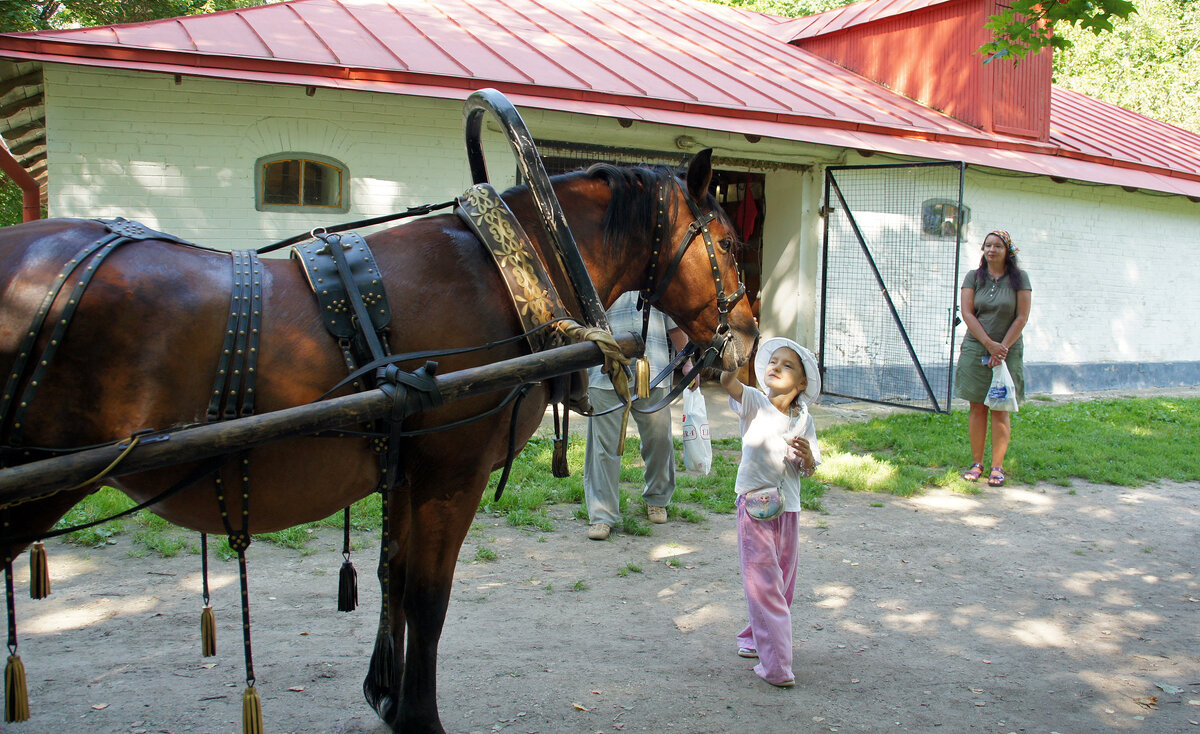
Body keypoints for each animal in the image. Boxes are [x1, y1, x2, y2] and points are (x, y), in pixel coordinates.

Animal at [0, 149, 753, 734]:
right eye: (727, 244)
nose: (744, 336)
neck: (508, 268)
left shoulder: (406, 470)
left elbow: (393, 573)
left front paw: (386, 695)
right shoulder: (451, 474)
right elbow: (427, 595)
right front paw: (419, 716)